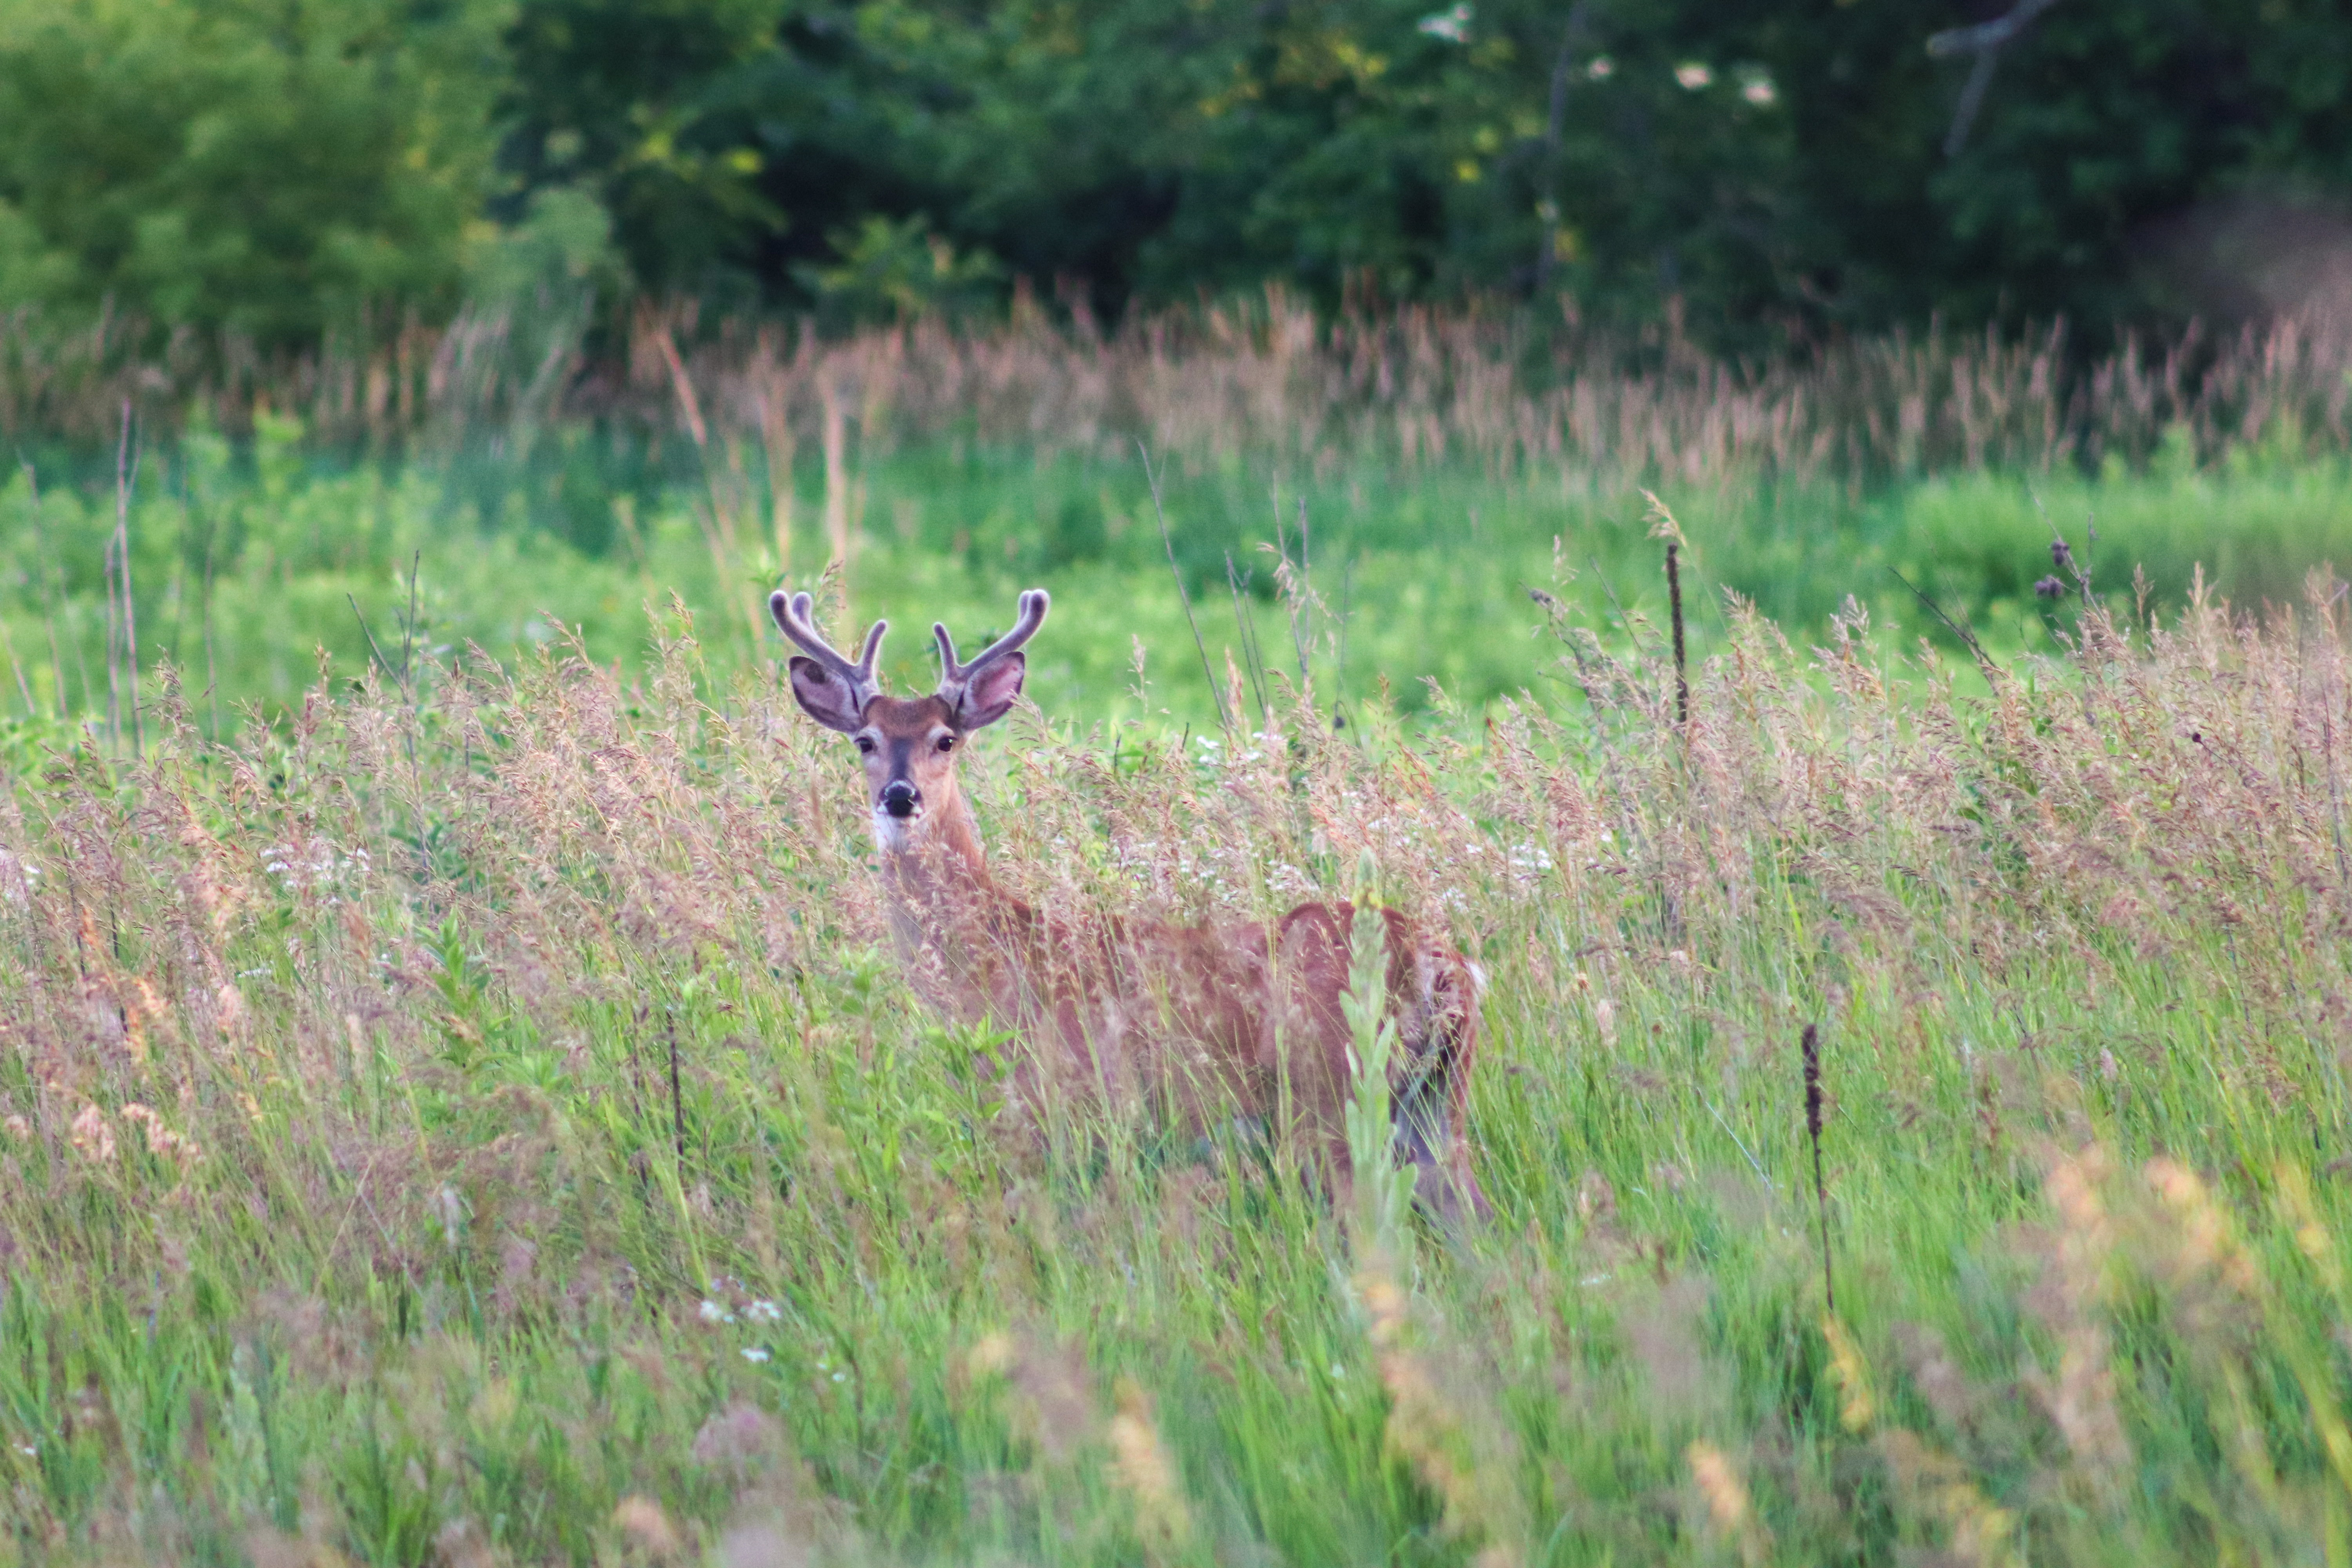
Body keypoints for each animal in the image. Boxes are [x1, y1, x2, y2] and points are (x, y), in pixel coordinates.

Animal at [771, 586, 1489, 1223]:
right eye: (865, 739)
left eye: (946, 739)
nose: (900, 796)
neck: (991, 958)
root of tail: (1439, 962)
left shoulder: (1063, 1107)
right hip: (1436, 1104)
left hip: (1333, 1089)